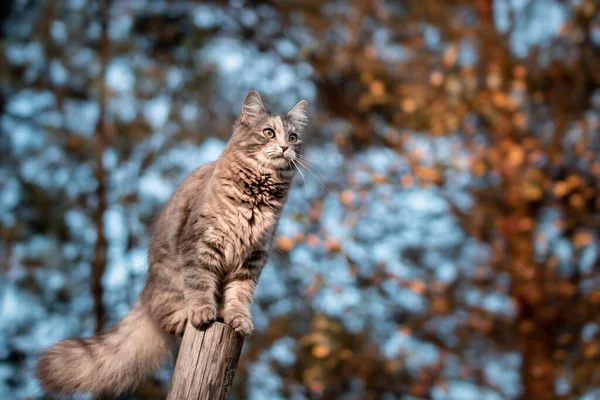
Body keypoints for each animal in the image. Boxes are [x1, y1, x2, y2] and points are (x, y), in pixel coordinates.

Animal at [36, 91, 310, 396]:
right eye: (268, 132)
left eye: (294, 137)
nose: (285, 147)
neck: (256, 198)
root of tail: (146, 293)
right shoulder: (200, 247)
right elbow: (200, 284)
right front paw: (203, 312)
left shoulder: (252, 260)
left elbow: (240, 295)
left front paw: (237, 318)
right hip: (167, 281)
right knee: (165, 315)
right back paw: (186, 316)